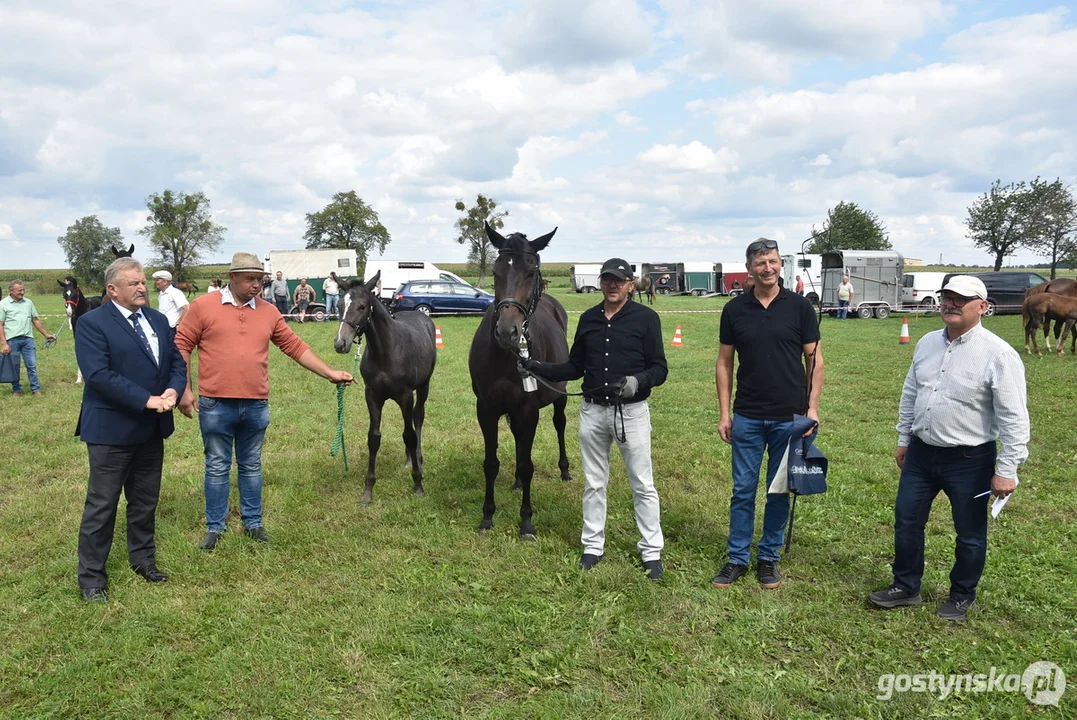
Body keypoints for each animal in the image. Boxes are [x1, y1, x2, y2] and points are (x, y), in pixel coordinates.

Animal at [336, 271, 437, 505]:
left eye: (362, 306)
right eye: (338, 305)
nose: (340, 343)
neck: (386, 352)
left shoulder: (406, 396)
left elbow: (409, 435)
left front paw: (418, 484)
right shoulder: (372, 396)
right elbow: (374, 438)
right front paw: (368, 491)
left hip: (424, 385)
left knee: (418, 419)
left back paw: (418, 459)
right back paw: (409, 459)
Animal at [469, 221, 572, 535]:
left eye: (531, 272)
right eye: (495, 272)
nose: (507, 332)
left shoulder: (529, 410)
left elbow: (528, 465)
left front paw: (526, 521)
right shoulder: (487, 409)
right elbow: (491, 463)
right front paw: (487, 516)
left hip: (559, 397)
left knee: (560, 424)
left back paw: (565, 470)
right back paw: (514, 482)